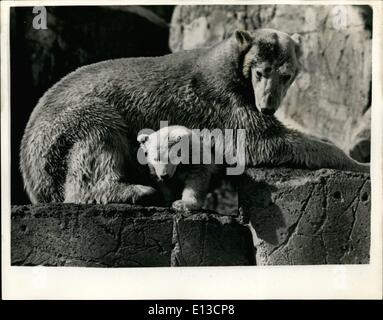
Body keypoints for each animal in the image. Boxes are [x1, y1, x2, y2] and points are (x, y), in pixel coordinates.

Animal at [19, 30, 370, 205]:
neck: (229, 62)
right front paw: (360, 163)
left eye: (286, 75)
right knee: (98, 140)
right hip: (67, 126)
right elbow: (260, 141)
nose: (269, 107)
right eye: (260, 72)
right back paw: (136, 191)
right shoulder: (223, 99)